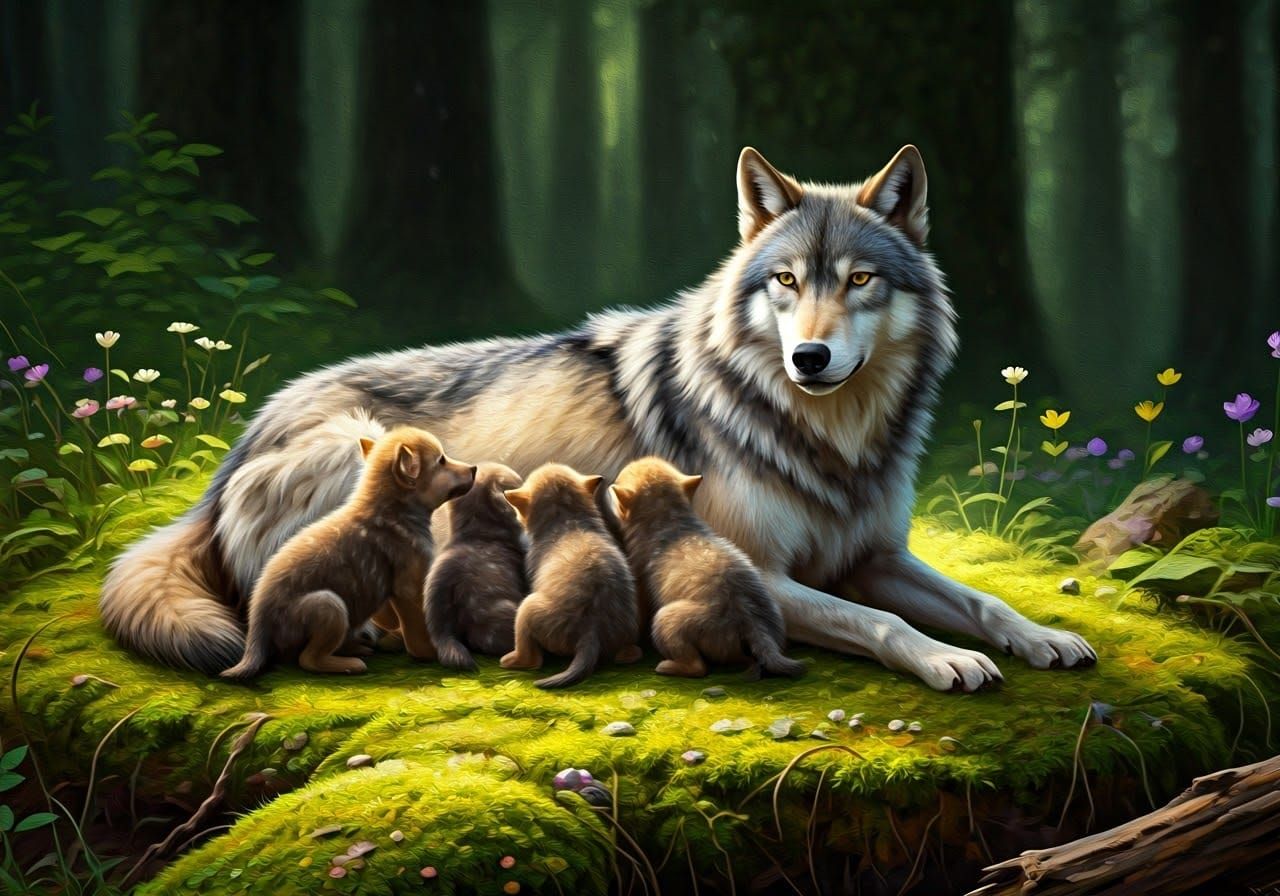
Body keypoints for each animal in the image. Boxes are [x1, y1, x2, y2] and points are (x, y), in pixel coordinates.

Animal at [99, 145, 1096, 691]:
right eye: (784, 281)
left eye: (857, 280)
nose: (809, 359)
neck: (831, 439)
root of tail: (234, 451)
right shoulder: (761, 575)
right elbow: (885, 626)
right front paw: (945, 660)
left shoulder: (873, 556)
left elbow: (981, 598)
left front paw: (1043, 638)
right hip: (363, 458)